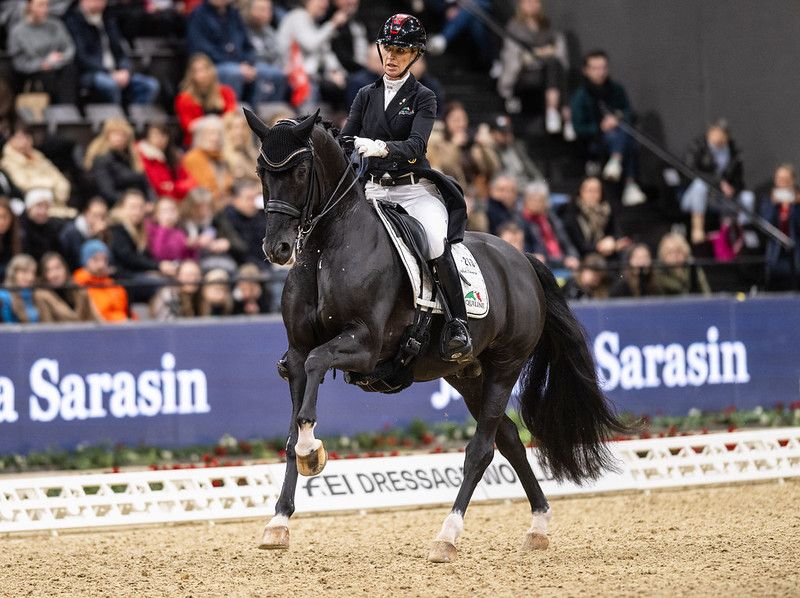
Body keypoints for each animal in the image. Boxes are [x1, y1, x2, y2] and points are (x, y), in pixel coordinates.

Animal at [244, 109, 626, 562]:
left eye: (301, 171)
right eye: (261, 171)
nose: (278, 249)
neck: (325, 249)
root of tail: (521, 259)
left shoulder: (365, 345)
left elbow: (317, 377)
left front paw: (311, 452)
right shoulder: (298, 354)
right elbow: (291, 429)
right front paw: (278, 522)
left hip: (505, 365)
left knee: (481, 449)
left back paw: (447, 535)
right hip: (466, 375)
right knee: (509, 439)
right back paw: (538, 525)